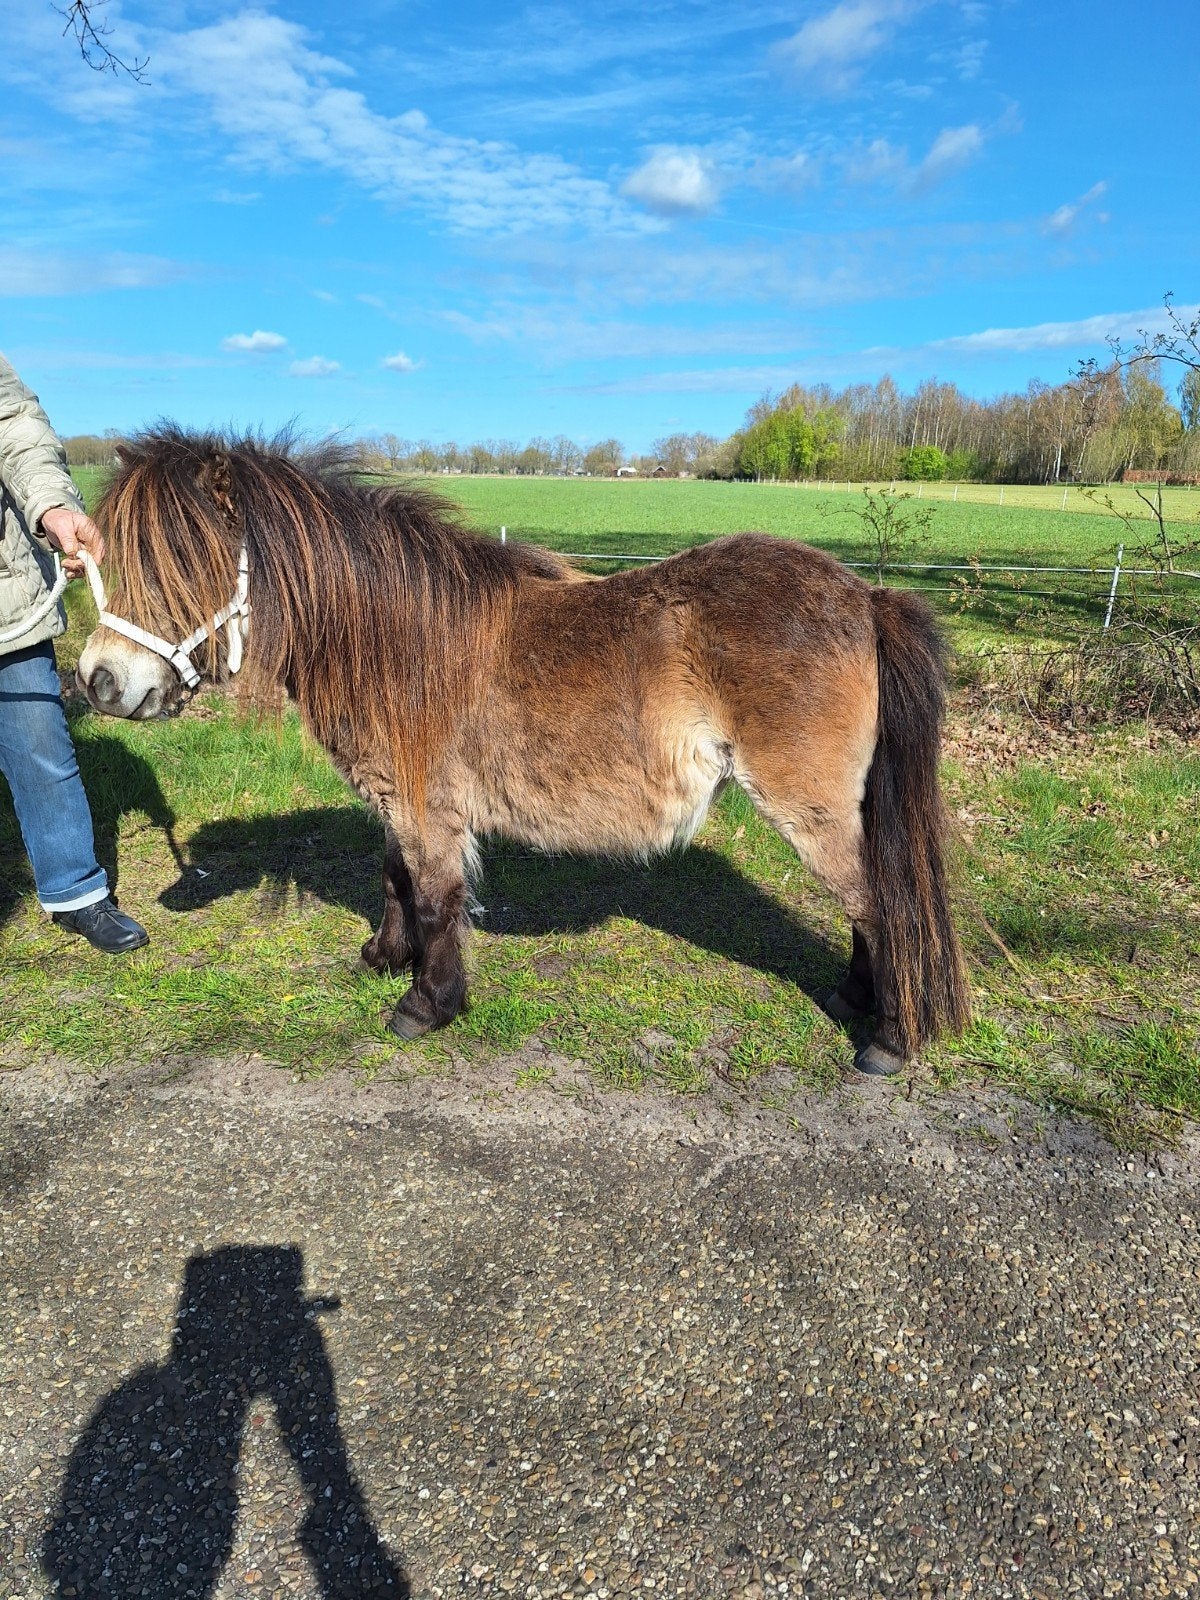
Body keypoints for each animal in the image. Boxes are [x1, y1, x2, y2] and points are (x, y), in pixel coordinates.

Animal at [76, 427, 970, 1075]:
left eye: (181, 558)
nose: (99, 681)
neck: (391, 638)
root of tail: (865, 594)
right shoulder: (398, 800)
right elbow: (395, 879)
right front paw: (384, 958)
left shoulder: (426, 807)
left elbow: (435, 899)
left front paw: (426, 1005)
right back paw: (857, 1000)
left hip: (809, 808)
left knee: (880, 902)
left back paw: (888, 1040)